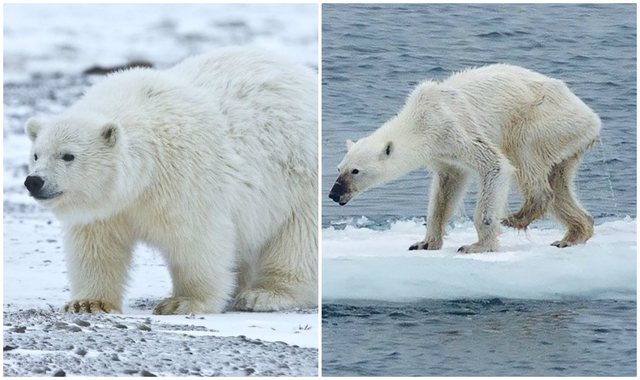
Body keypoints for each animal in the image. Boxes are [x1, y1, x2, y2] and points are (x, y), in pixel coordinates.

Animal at [25, 48, 320, 314]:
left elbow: (196, 239)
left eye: (68, 155)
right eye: (36, 154)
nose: (34, 181)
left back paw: (264, 294)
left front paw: (183, 301)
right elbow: (95, 246)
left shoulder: (183, 177)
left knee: (299, 240)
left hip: (299, 178)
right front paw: (87, 303)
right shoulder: (107, 208)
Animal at [330, 64, 600, 254]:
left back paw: (516, 217)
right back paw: (572, 235)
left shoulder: (453, 128)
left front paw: (477, 245)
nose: (334, 194)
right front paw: (424, 243)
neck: (420, 119)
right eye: (339, 168)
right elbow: (446, 189)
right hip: (566, 141)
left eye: (355, 171)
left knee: (524, 155)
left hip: (544, 120)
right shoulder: (443, 154)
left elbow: (495, 165)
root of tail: (592, 118)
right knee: (559, 183)